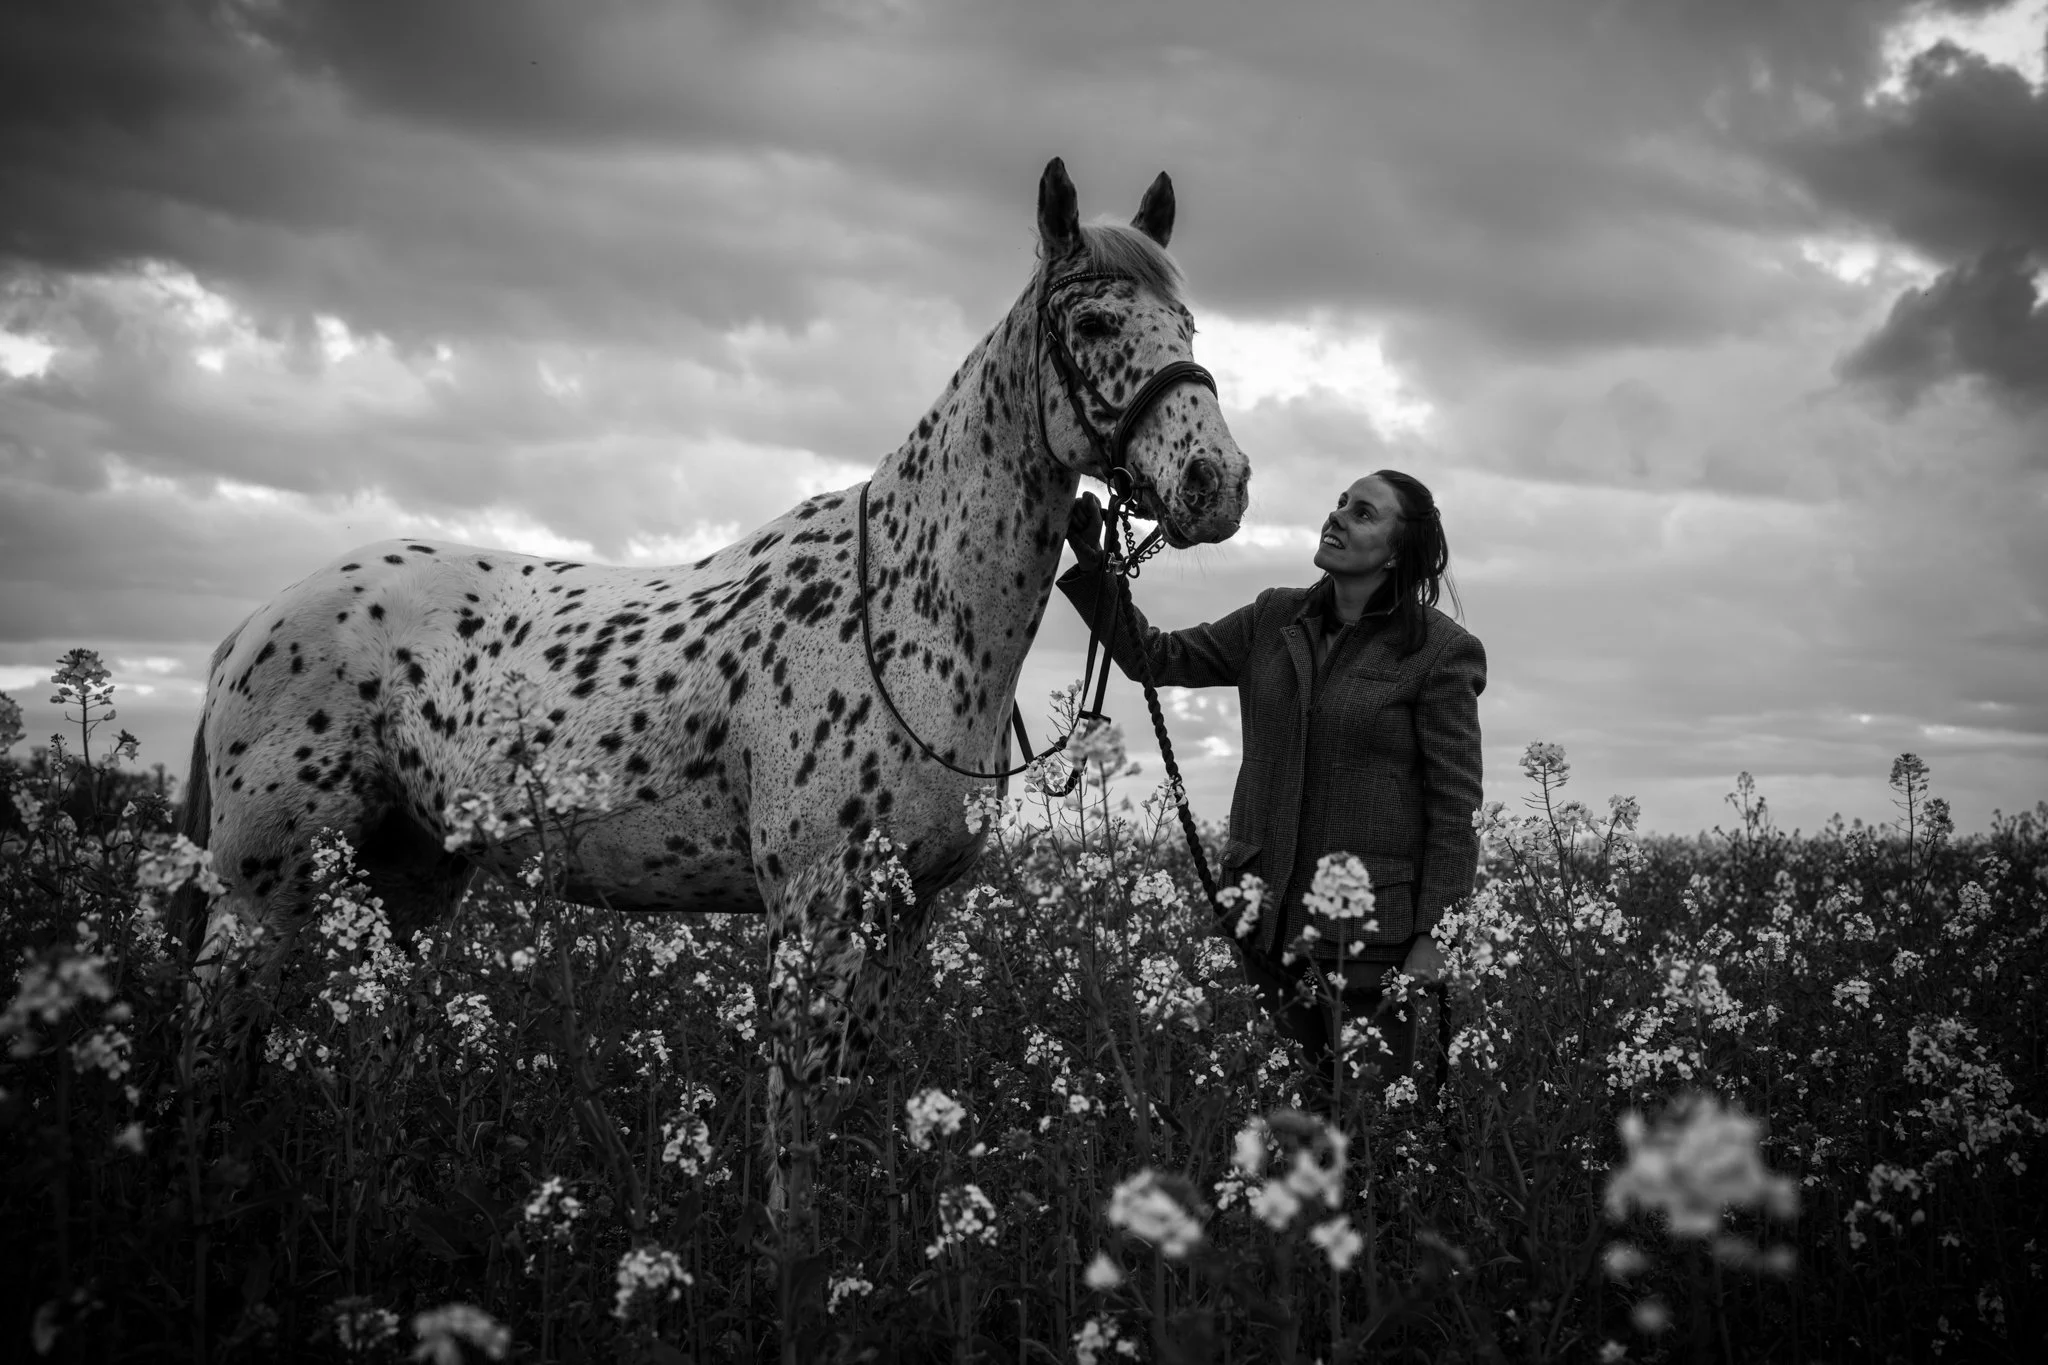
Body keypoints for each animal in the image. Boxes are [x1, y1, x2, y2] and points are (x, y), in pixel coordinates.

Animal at [174, 156, 1249, 1204]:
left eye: (1190, 325)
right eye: (1095, 323)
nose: (1218, 484)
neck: (905, 609)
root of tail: (248, 628)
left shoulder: (900, 919)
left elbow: (837, 1109)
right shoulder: (814, 911)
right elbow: (792, 1137)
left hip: (411, 883)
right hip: (261, 899)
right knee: (210, 1057)